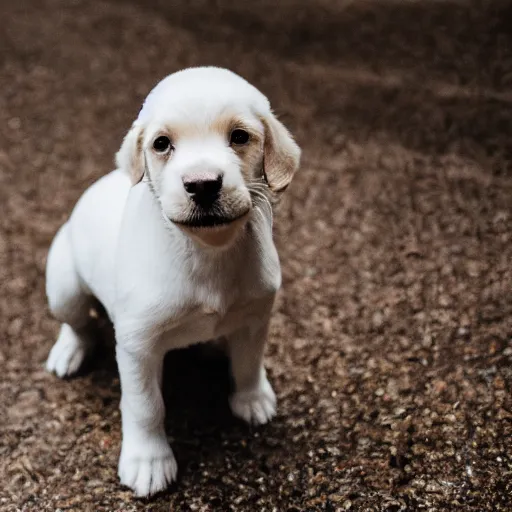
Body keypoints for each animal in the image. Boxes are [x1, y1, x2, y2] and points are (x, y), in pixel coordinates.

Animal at [45, 67, 300, 496]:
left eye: (240, 136)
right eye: (162, 144)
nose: (203, 184)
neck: (208, 251)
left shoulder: (255, 317)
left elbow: (249, 362)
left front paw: (251, 398)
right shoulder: (138, 346)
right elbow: (146, 406)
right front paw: (148, 461)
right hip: (64, 289)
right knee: (78, 323)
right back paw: (69, 351)